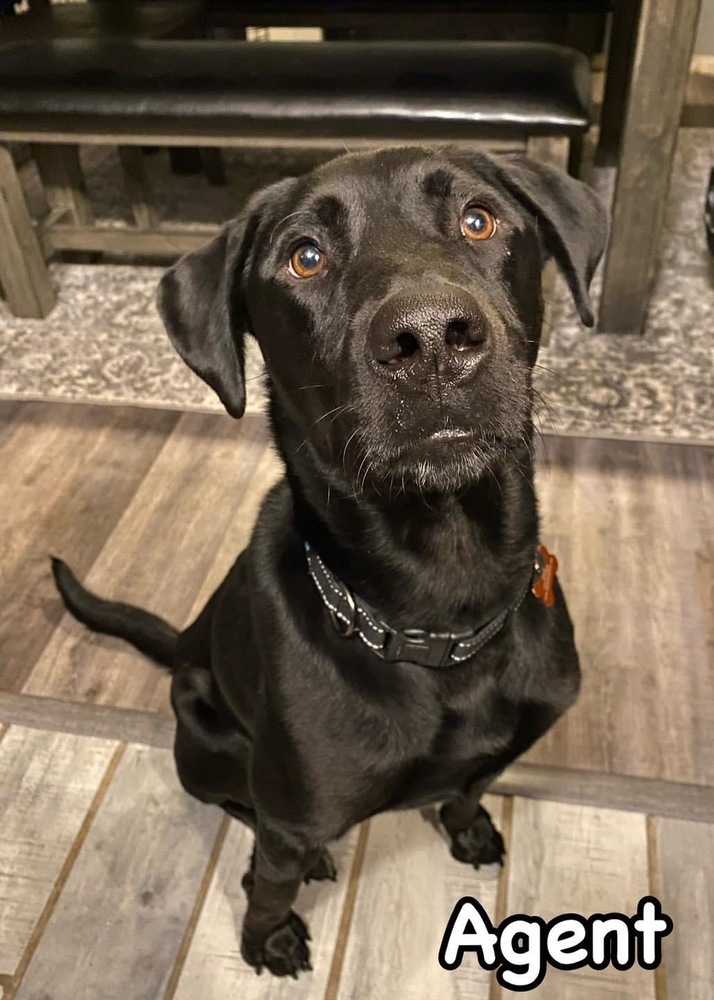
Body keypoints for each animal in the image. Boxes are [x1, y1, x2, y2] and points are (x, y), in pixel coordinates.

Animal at [52, 146, 604, 976]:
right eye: (304, 257)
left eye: (479, 218)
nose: (431, 339)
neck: (444, 602)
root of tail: (183, 644)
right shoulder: (291, 805)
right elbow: (270, 878)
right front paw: (267, 937)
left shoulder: (499, 749)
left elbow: (469, 787)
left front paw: (468, 825)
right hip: (206, 740)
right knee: (236, 804)